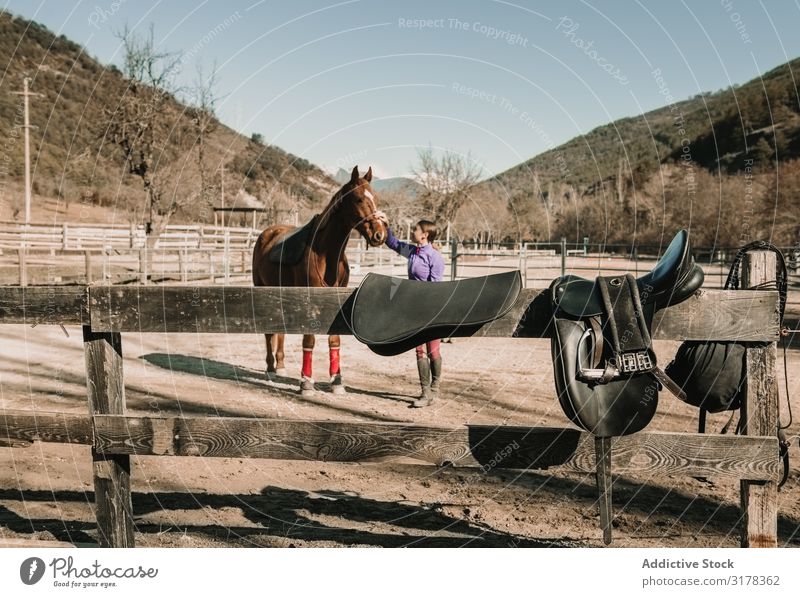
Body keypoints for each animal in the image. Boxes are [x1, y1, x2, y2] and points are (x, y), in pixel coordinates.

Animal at [252, 165, 386, 394]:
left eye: (375, 198)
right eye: (358, 199)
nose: (380, 234)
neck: (326, 253)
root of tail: (266, 234)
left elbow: (334, 339)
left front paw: (337, 381)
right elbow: (309, 339)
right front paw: (306, 381)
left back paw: (280, 365)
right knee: (269, 333)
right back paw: (270, 368)